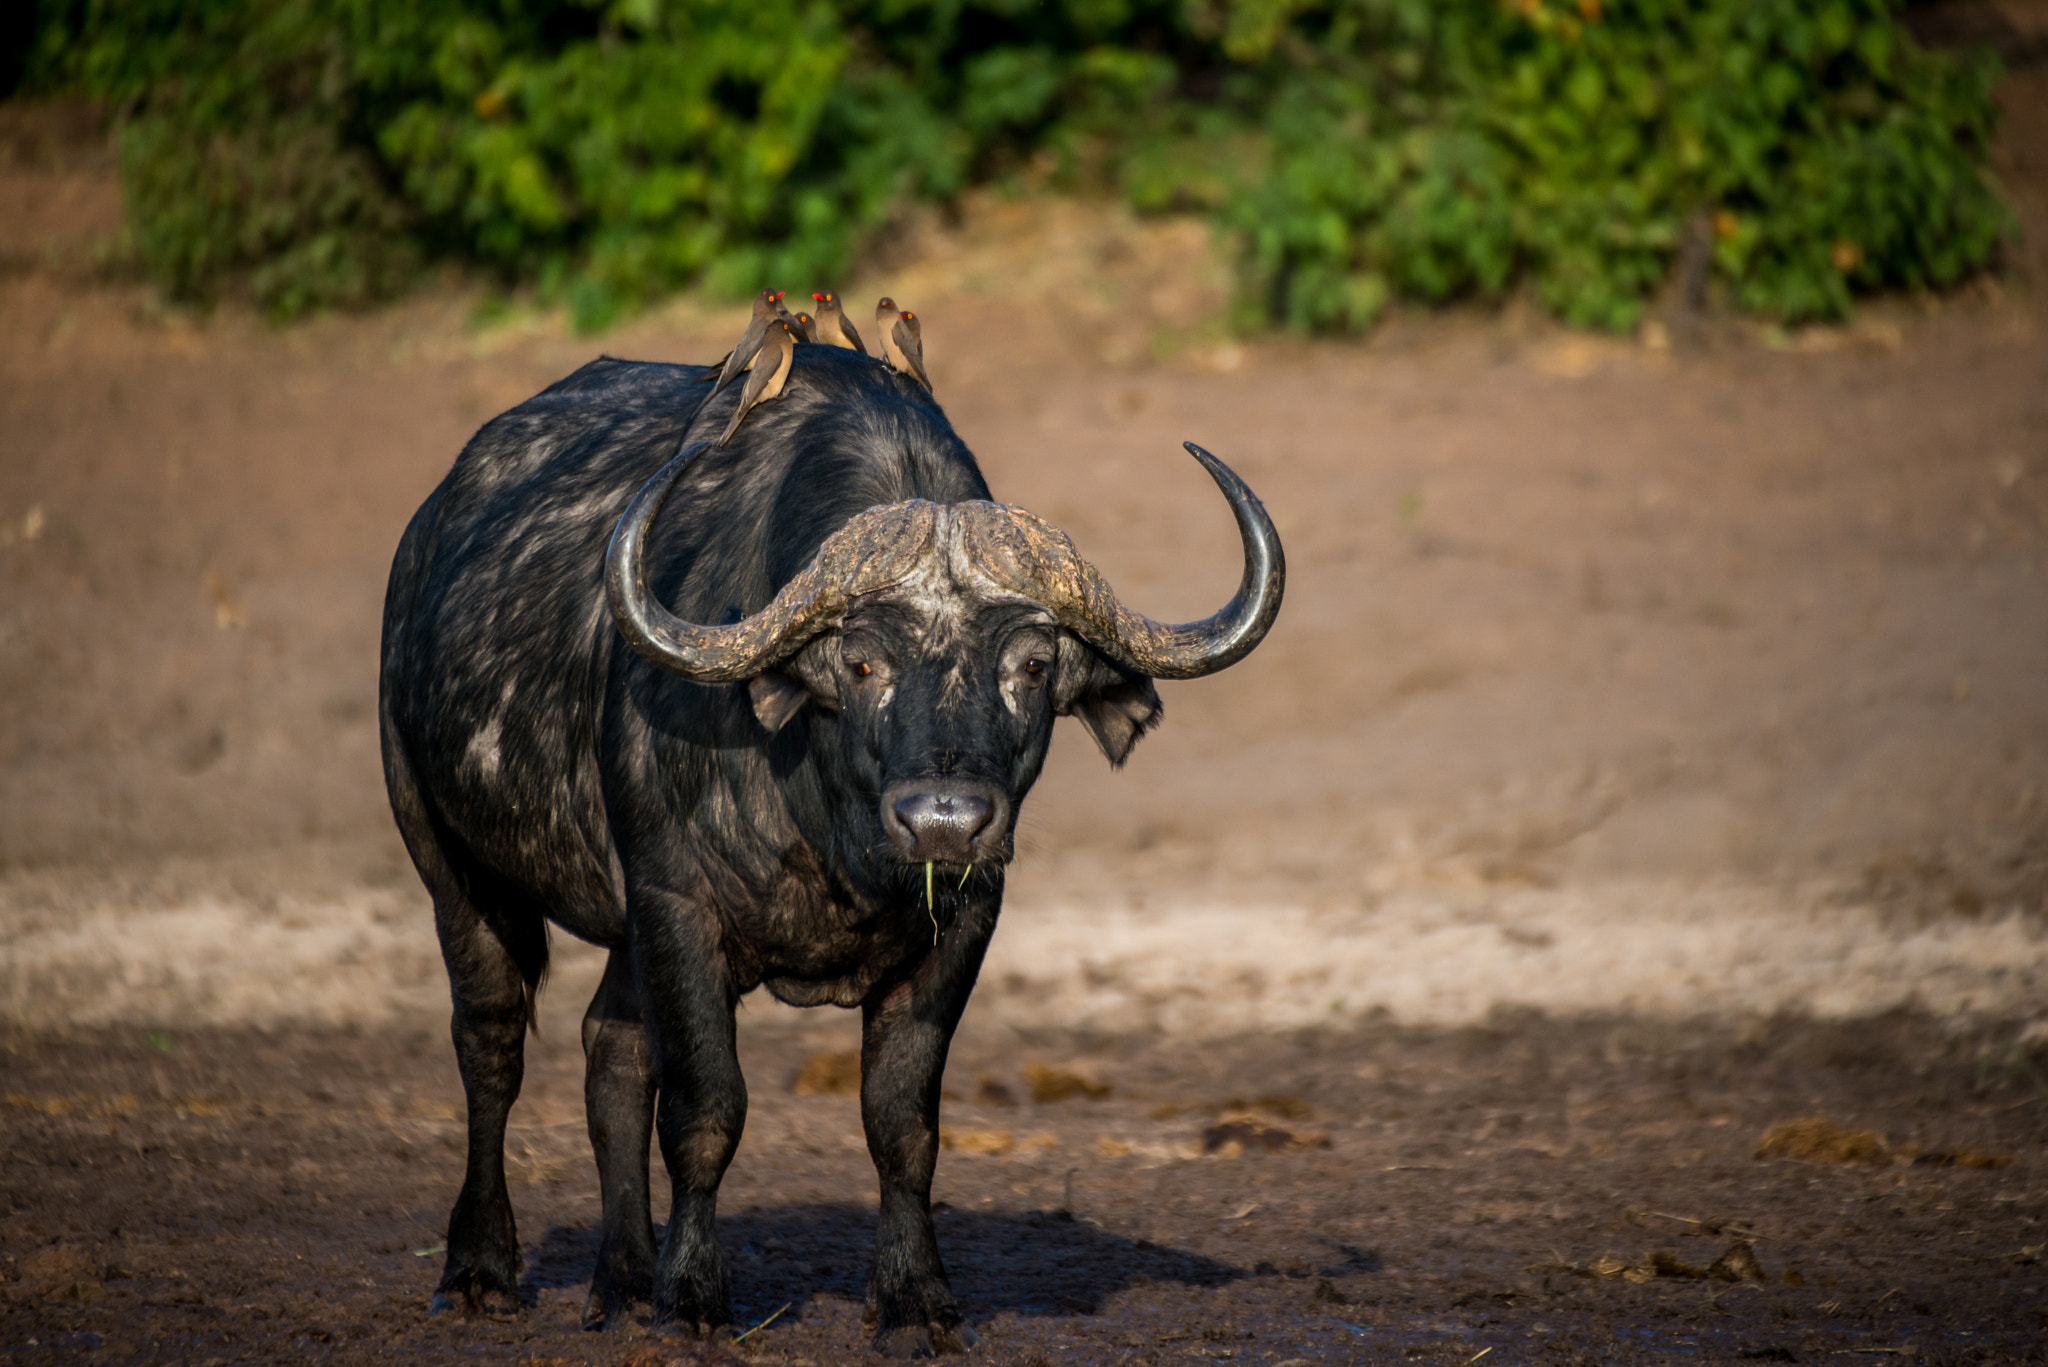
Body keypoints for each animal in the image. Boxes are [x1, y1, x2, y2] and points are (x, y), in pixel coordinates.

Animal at [377, 343, 1283, 1353]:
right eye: (860, 661)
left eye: (1033, 665)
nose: (944, 821)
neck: (829, 830)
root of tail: (426, 536)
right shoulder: (676, 905)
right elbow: (707, 1107)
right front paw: (693, 1295)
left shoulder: (962, 922)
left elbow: (902, 1123)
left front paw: (915, 1299)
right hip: (449, 858)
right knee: (491, 1041)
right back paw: (480, 1270)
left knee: (610, 1048)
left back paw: (623, 1281)